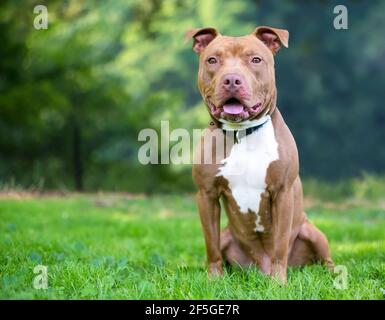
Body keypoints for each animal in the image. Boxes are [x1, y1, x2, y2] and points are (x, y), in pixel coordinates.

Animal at [187, 26, 332, 282]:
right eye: (212, 60)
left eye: (255, 59)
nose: (232, 80)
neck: (241, 133)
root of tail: (259, 268)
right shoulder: (206, 195)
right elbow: (211, 245)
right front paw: (214, 280)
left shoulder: (282, 193)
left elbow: (280, 245)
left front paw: (279, 283)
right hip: (228, 236)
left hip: (312, 232)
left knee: (325, 259)